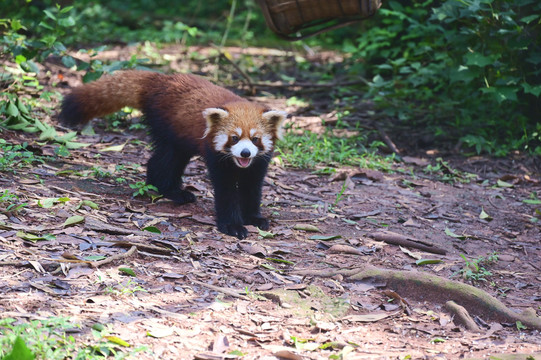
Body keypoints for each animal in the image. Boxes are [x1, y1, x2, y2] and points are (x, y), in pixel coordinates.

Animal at [58, 70, 286, 239]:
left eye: (255, 139)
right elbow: (226, 191)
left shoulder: (258, 164)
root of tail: (161, 79)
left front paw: (254, 218)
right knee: (165, 160)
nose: (245, 153)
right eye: (234, 138)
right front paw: (232, 225)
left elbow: (252, 188)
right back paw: (170, 190)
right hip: (166, 124)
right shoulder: (216, 157)